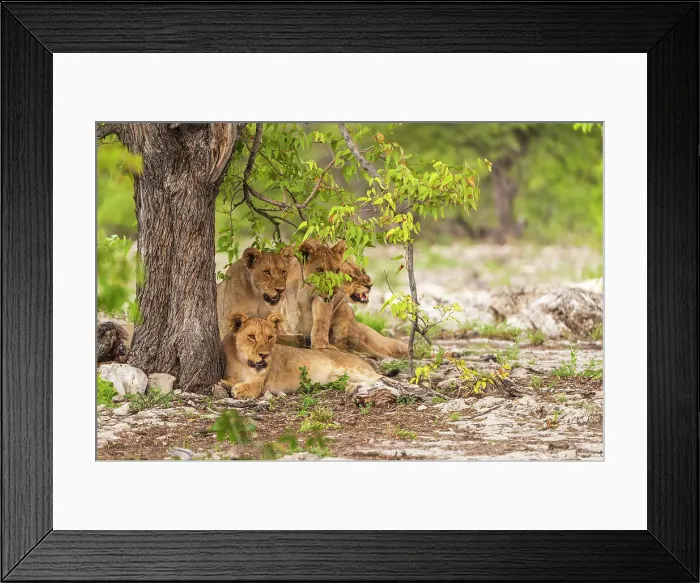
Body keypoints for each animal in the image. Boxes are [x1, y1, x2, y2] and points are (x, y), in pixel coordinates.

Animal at [222, 312, 382, 400]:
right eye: (251, 337)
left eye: (270, 337)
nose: (264, 355)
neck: (243, 362)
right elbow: (228, 379)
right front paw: (226, 384)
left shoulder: (260, 382)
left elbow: (252, 385)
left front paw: (239, 390)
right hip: (337, 379)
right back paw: (354, 388)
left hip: (357, 370)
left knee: (380, 377)